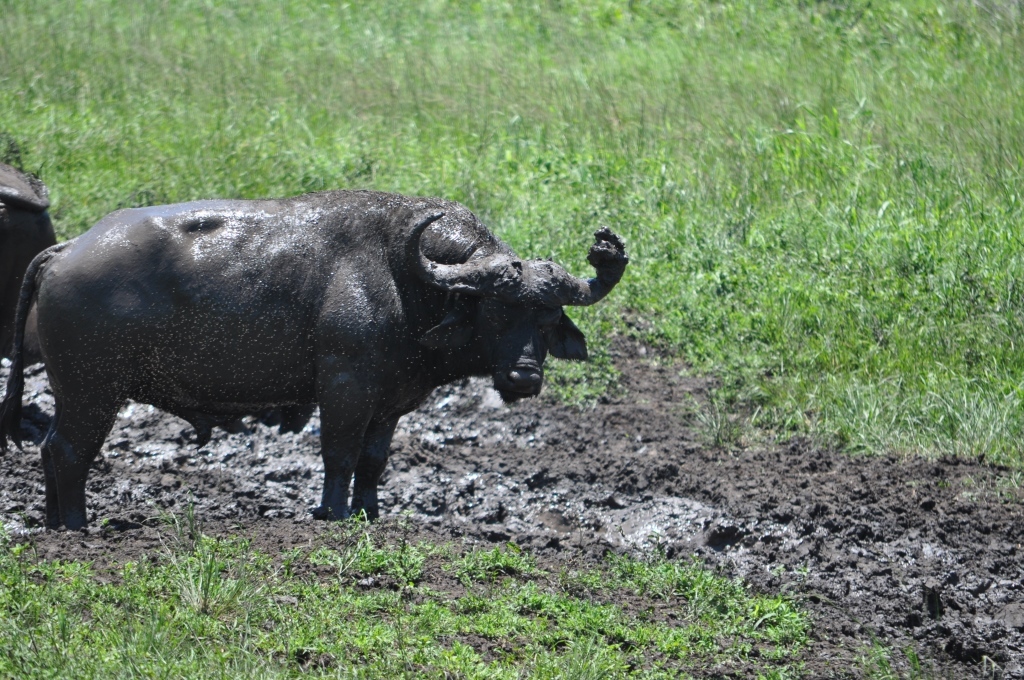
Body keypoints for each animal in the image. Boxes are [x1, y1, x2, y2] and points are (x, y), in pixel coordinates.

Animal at [0, 188, 626, 528]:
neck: (407, 280)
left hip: (74, 392)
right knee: (68, 452)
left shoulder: (390, 403)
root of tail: (65, 250)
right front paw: (333, 513)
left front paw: (371, 511)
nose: (524, 376)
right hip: (93, 392)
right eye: (495, 311)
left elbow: (373, 460)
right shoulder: (345, 387)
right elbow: (340, 455)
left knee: (53, 449)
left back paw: (56, 523)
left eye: (546, 318)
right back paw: (79, 524)